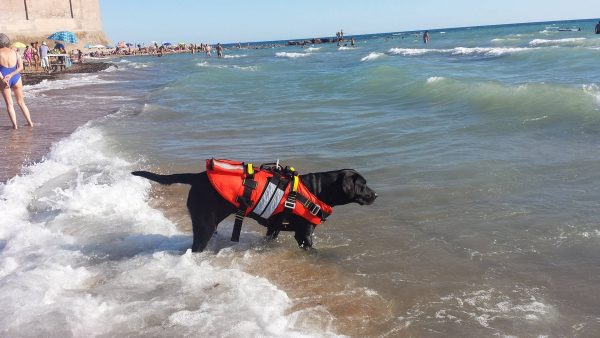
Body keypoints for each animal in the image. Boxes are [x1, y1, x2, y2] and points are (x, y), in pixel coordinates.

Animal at [131, 168, 376, 252]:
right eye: (363, 184)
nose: (376, 195)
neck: (317, 190)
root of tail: (197, 177)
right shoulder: (304, 236)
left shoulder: (273, 229)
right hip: (205, 224)